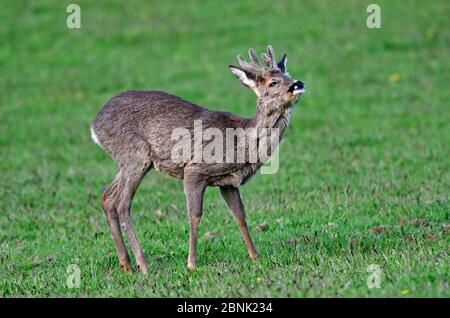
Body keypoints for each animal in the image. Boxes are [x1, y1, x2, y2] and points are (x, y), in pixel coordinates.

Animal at [91, 45, 306, 274]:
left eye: (288, 75)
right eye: (272, 82)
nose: (298, 84)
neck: (241, 143)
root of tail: (94, 125)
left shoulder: (228, 183)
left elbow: (240, 216)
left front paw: (256, 257)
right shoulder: (194, 169)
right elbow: (194, 215)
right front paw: (192, 263)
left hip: (131, 161)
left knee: (108, 197)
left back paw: (127, 264)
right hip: (136, 154)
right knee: (123, 203)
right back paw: (143, 264)